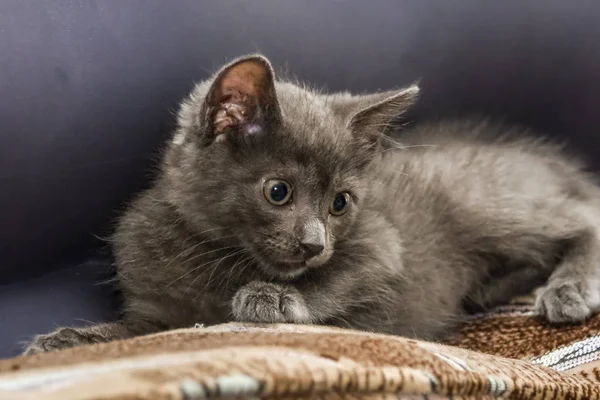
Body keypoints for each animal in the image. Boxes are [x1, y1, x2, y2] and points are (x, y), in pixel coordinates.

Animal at [25, 54, 600, 354]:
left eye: (341, 203)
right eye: (278, 192)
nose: (314, 244)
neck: (216, 257)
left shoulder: (382, 244)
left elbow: (338, 276)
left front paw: (273, 297)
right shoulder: (157, 308)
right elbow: (142, 333)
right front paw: (74, 338)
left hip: (482, 198)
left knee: (582, 217)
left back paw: (568, 288)